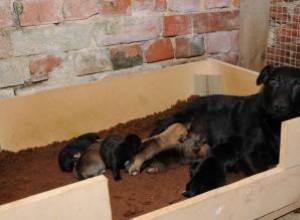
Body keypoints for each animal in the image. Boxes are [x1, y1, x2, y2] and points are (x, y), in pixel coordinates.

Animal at [151, 64, 300, 197]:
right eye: (272, 81)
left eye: (298, 86)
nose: (279, 106)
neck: (276, 124)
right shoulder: (248, 154)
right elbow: (260, 173)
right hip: (176, 118)